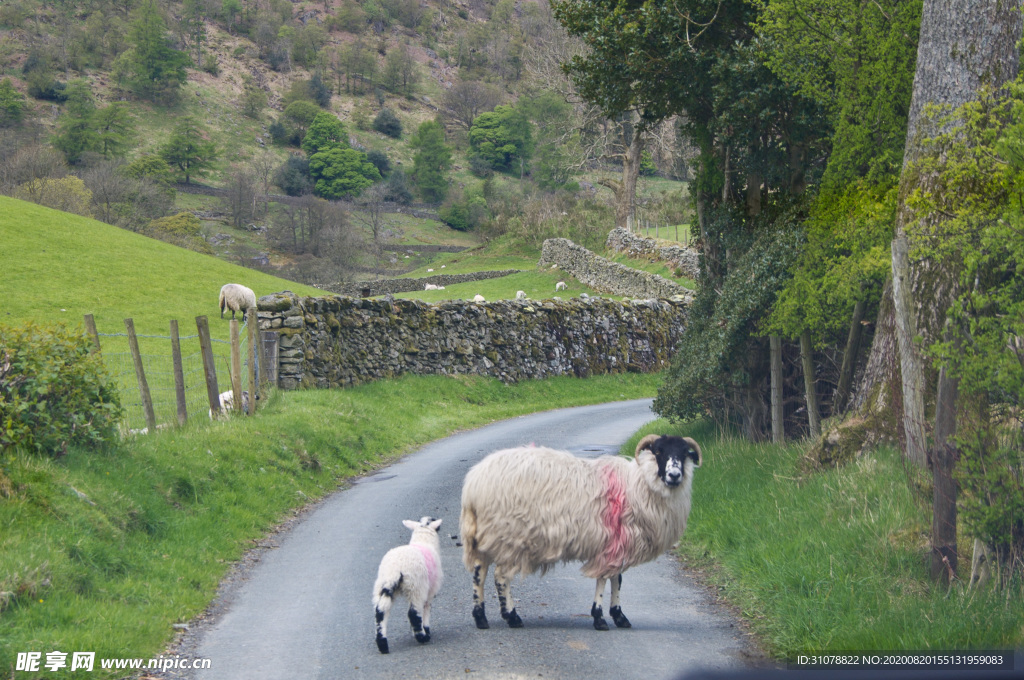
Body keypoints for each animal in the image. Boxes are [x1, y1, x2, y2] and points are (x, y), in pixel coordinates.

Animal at [372, 516, 444, 655]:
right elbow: (426, 609)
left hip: (381, 585)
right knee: (413, 613)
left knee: (380, 611)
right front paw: (425, 630)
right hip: (416, 586)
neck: (423, 540)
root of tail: (395, 569)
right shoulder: (430, 589)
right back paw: (422, 637)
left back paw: (382, 644)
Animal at [460, 436, 700, 630]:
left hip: (487, 536)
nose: (674, 475)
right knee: (500, 577)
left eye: (684, 453)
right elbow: (605, 579)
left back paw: (481, 618)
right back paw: (512, 617)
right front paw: (600, 618)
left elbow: (617, 578)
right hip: (508, 536)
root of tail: (473, 484)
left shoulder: (616, 544)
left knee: (479, 572)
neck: (638, 486)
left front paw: (619, 616)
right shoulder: (611, 544)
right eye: (659, 451)